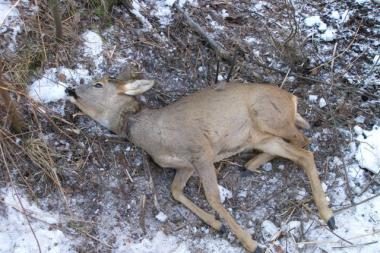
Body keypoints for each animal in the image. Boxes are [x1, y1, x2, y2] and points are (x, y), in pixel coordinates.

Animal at [66, 72, 336, 251]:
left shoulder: (200, 149)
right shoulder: (184, 164)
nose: (70, 89)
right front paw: (217, 225)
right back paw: (253, 165)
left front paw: (251, 242)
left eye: (98, 84)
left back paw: (328, 215)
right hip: (262, 136)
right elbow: (175, 191)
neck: (153, 134)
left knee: (304, 140)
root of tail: (292, 98)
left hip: (270, 117)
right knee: (303, 152)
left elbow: (213, 196)